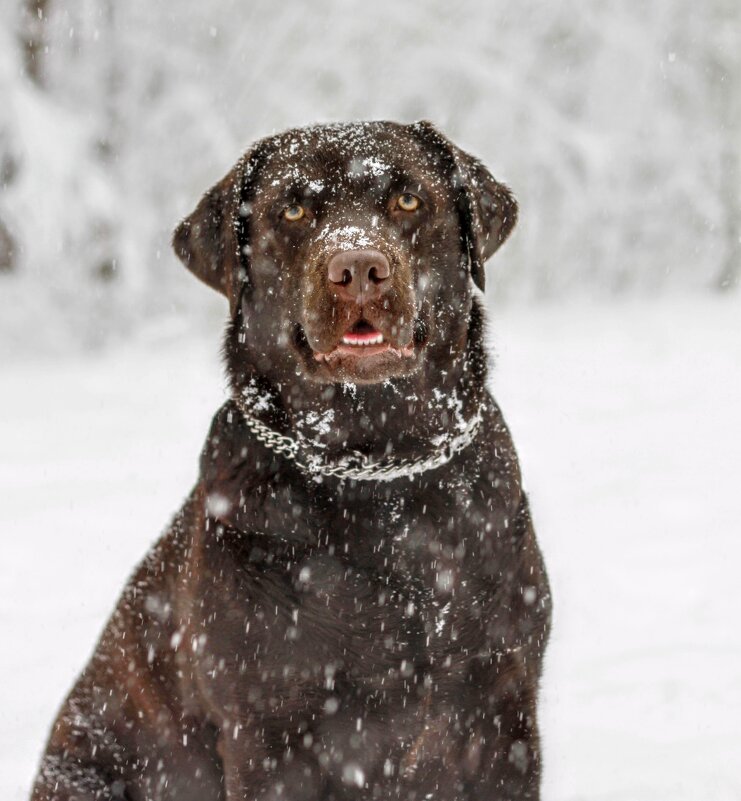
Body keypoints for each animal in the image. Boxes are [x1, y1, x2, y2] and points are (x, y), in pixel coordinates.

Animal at [30, 120, 548, 800]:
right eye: (294, 210)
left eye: (408, 200)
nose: (358, 266)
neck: (378, 469)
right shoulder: (271, 732)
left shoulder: (500, 710)